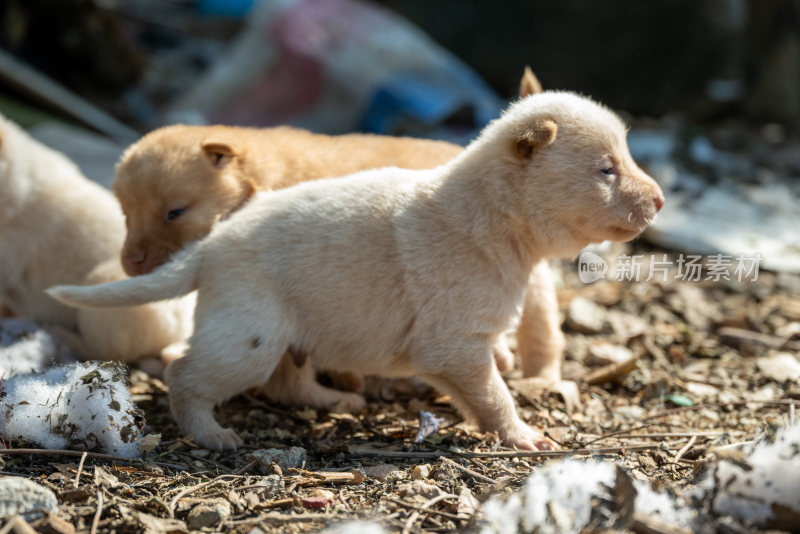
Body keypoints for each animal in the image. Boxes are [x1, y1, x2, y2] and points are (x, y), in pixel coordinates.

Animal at [47, 92, 664, 452]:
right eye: (607, 169)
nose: (660, 200)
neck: (491, 214)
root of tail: (209, 248)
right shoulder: (455, 345)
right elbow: (493, 395)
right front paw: (523, 435)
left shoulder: (463, 346)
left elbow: (486, 386)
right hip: (250, 336)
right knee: (187, 376)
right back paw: (213, 433)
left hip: (292, 332)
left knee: (290, 382)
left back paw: (333, 402)